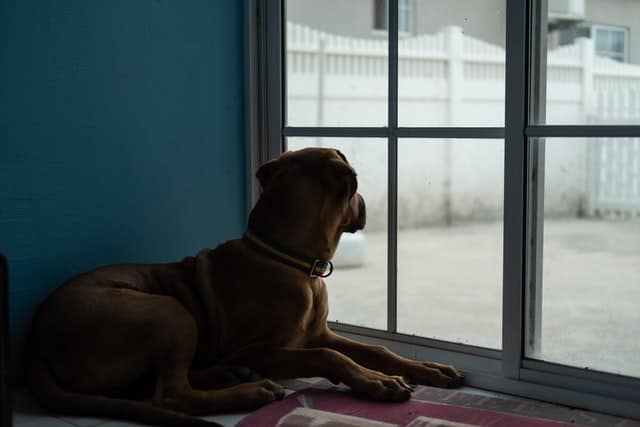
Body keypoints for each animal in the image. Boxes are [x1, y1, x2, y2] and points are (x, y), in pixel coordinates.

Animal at [26, 148, 464, 427]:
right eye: (353, 189)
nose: (366, 205)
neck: (293, 262)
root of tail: (36, 343)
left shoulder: (317, 333)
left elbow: (375, 349)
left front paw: (428, 368)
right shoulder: (263, 348)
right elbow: (330, 357)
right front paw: (376, 383)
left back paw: (231, 375)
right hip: (168, 312)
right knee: (171, 393)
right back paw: (249, 390)